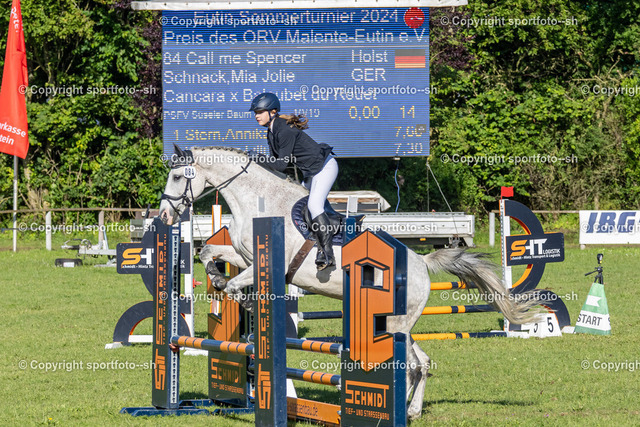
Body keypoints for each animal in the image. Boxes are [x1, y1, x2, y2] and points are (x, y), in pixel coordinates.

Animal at [158, 145, 542, 420]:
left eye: (177, 176)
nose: (164, 215)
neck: (256, 199)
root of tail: (421, 263)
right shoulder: (244, 257)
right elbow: (211, 252)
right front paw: (219, 280)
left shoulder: (264, 265)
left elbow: (236, 285)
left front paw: (242, 298)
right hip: (394, 323)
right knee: (422, 361)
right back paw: (412, 410)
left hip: (397, 323)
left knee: (409, 365)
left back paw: (398, 412)